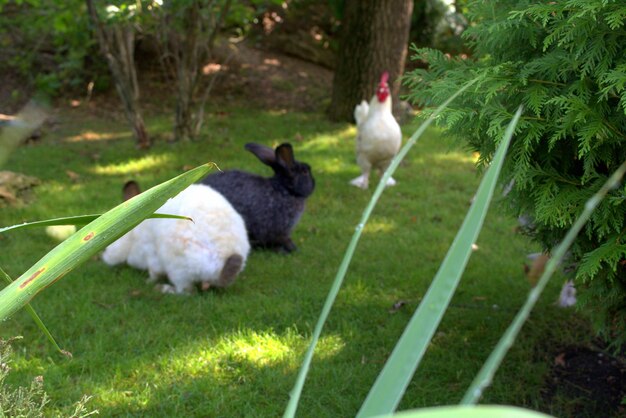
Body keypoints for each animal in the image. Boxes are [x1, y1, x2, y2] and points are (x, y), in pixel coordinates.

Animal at [102, 182, 249, 294]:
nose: (105, 257)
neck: (134, 236)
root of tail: (225, 256)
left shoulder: (150, 252)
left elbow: (154, 272)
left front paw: (148, 282)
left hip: (177, 268)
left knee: (185, 291)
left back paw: (163, 288)